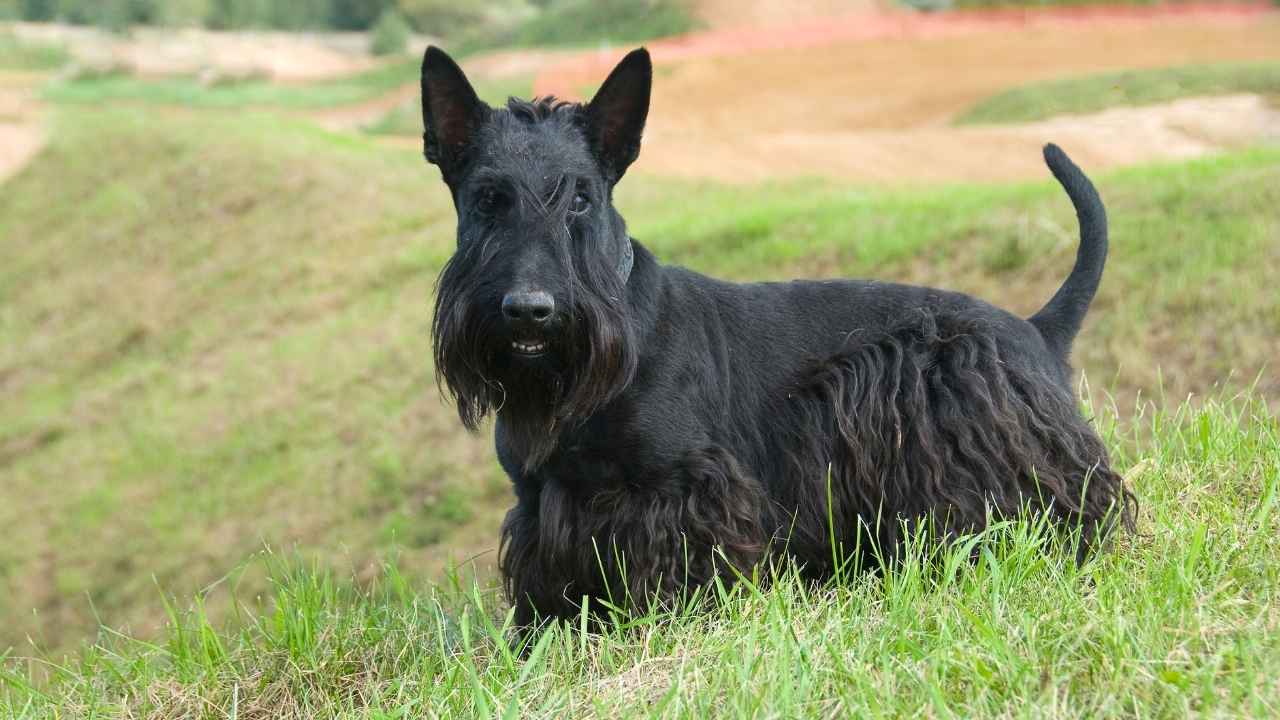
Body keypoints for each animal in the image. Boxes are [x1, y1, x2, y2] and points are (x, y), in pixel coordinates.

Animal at [422, 47, 1141, 625]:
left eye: (579, 198)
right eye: (486, 198)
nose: (530, 311)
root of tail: (1034, 328)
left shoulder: (685, 489)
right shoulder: (540, 505)